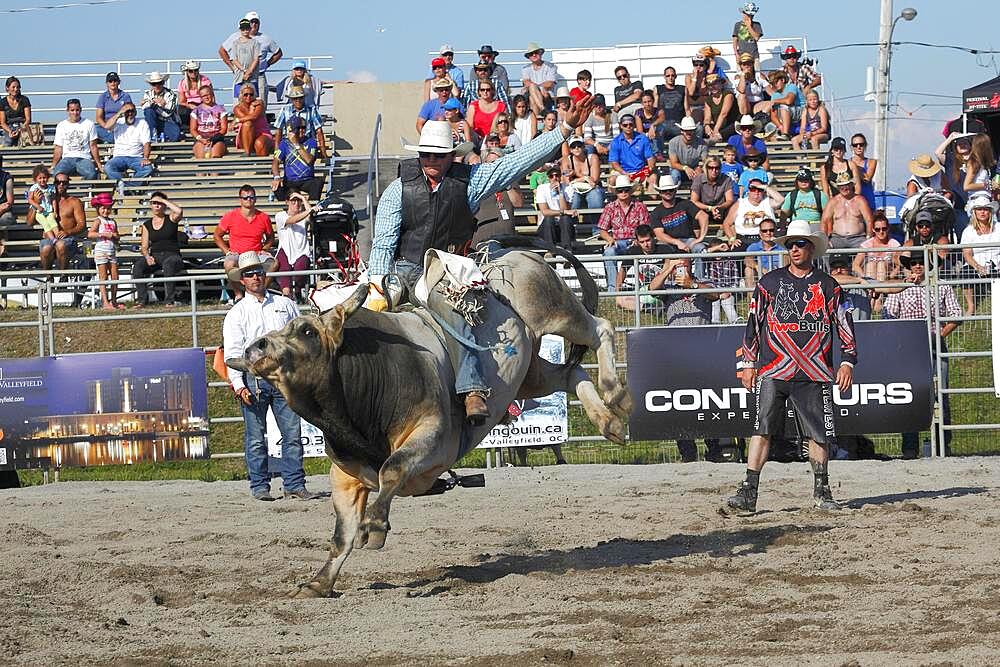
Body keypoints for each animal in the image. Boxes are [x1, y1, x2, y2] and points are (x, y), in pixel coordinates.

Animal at [229, 243, 632, 596]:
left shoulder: (434, 437)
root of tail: (516, 253)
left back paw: (616, 392)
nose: (256, 347)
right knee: (569, 373)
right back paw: (609, 422)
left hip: (558, 312)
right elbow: (342, 535)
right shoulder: (344, 474)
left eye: (307, 330)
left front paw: (375, 524)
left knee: (600, 327)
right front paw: (318, 583)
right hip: (529, 371)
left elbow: (392, 468)